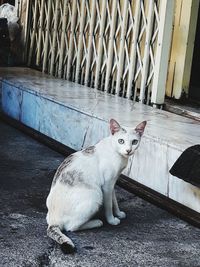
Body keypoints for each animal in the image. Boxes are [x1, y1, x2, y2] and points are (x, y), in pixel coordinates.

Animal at [47, 119, 147, 253]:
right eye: (121, 141)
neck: (115, 151)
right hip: (96, 196)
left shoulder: (112, 182)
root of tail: (53, 220)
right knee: (71, 227)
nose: (128, 150)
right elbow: (109, 205)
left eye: (134, 142)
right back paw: (97, 222)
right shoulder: (107, 185)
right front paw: (112, 220)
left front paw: (118, 213)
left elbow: (114, 201)